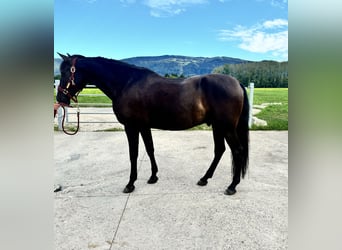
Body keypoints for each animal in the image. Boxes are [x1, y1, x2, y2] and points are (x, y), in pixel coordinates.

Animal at [55, 53, 248, 195]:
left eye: (65, 72)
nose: (61, 99)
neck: (126, 83)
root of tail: (237, 83)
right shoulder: (143, 126)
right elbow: (149, 149)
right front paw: (153, 177)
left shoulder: (131, 127)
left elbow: (134, 154)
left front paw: (130, 184)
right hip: (218, 126)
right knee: (220, 150)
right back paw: (204, 179)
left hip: (226, 127)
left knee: (237, 150)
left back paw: (232, 186)